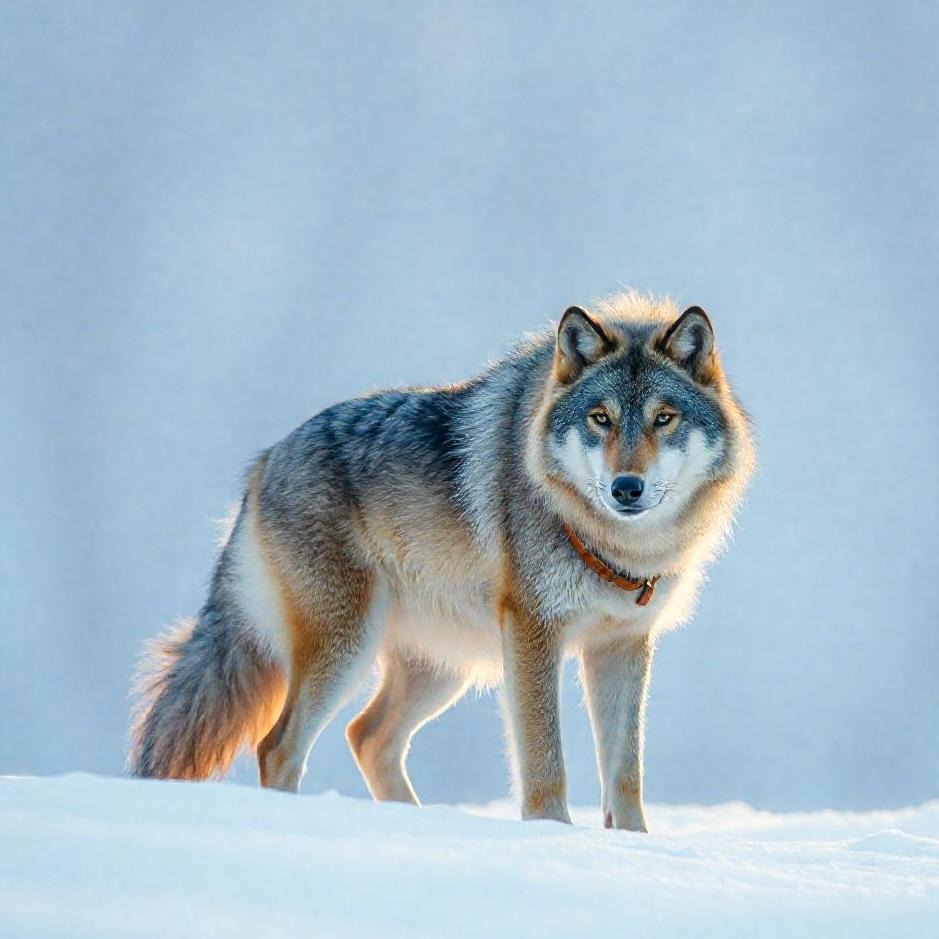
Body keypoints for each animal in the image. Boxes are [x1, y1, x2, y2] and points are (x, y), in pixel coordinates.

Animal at [129, 292, 754, 831]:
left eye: (663, 418)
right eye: (600, 418)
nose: (627, 488)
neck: (616, 548)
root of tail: (265, 462)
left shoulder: (622, 645)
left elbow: (625, 775)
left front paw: (633, 845)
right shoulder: (533, 633)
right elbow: (546, 764)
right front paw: (551, 838)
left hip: (444, 668)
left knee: (367, 737)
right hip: (350, 648)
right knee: (279, 746)